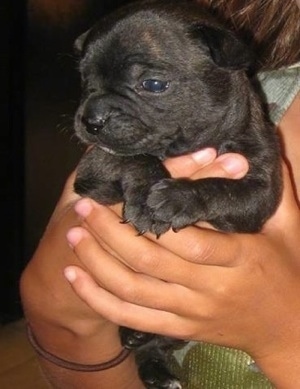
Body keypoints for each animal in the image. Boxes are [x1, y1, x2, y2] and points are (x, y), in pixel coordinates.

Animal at [72, 1, 282, 386]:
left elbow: (223, 188)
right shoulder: (94, 166)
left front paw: (175, 198)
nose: (90, 120)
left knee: (156, 342)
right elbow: (135, 157)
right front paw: (146, 198)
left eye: (153, 84)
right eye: (85, 82)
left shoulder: (260, 190)